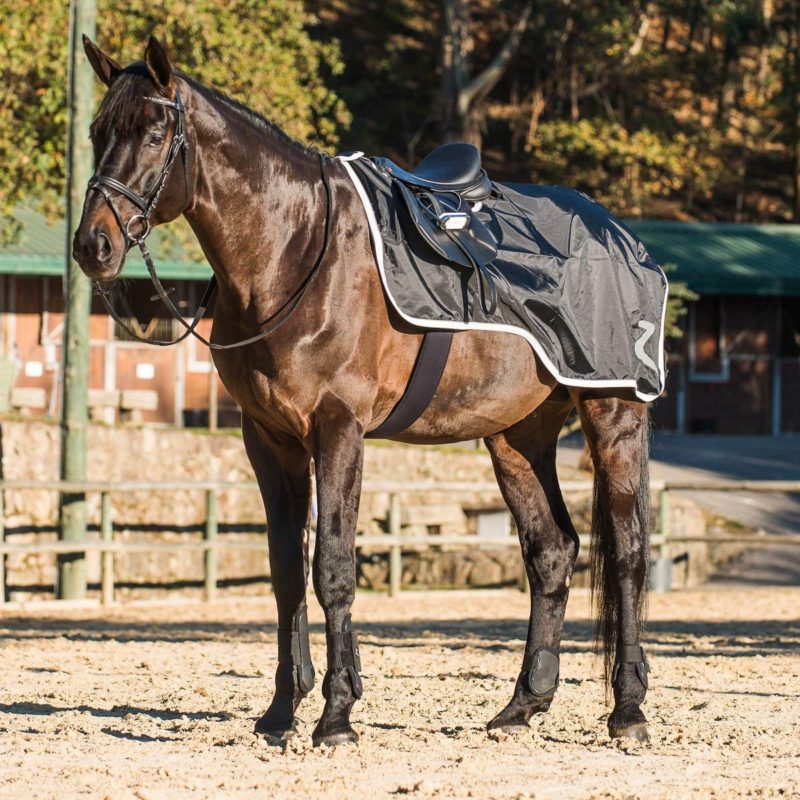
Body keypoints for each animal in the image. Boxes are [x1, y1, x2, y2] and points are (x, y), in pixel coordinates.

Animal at [73, 36, 653, 747]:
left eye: (155, 134)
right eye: (97, 132)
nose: (93, 245)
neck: (293, 252)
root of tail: (622, 237)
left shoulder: (338, 430)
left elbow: (332, 567)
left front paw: (336, 715)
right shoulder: (269, 441)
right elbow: (286, 571)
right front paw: (282, 710)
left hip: (613, 415)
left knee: (626, 553)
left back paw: (628, 710)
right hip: (517, 439)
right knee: (552, 552)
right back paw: (523, 705)